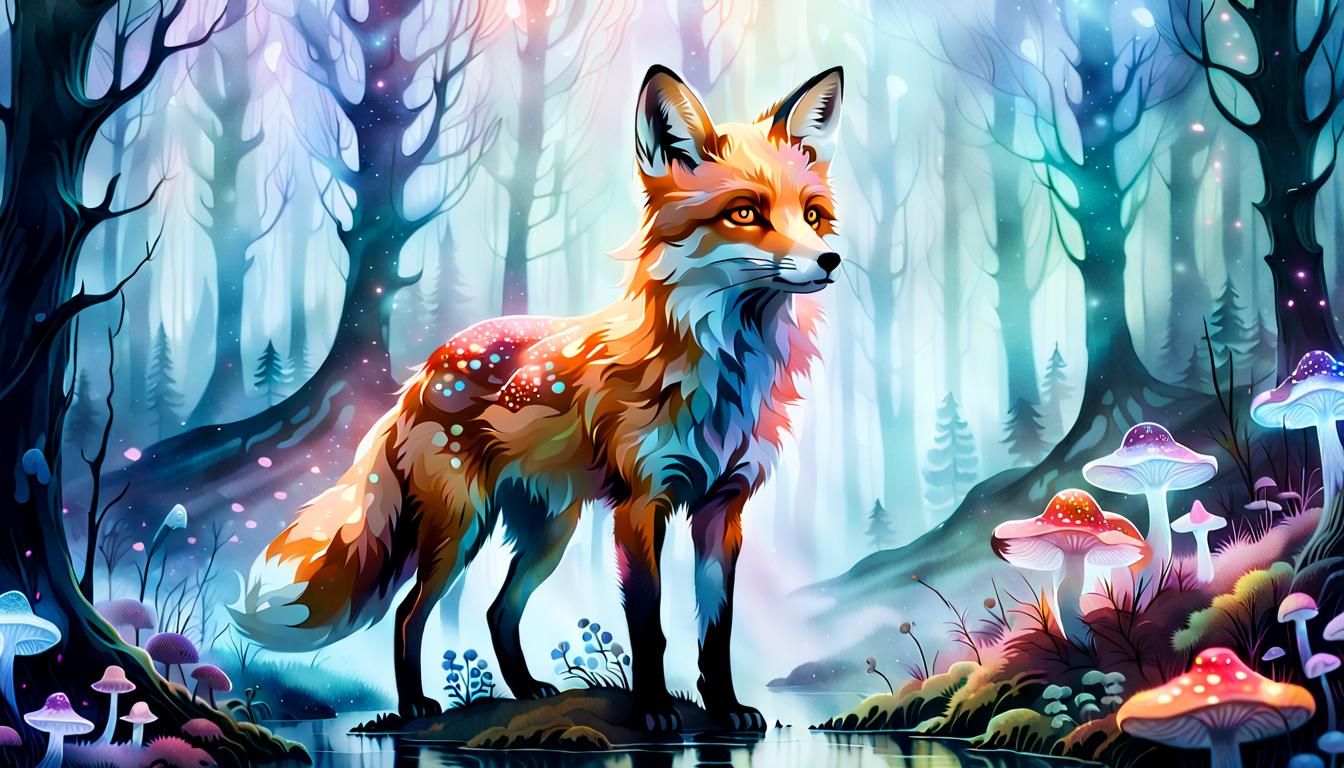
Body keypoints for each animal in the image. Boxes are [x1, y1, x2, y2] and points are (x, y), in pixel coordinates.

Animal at [232, 64, 844, 731]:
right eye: (745, 212)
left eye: (813, 215)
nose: (831, 259)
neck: (725, 370)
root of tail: (420, 372)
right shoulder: (641, 504)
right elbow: (649, 625)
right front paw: (655, 710)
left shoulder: (723, 508)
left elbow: (717, 630)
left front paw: (727, 707)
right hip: (460, 530)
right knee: (408, 613)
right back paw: (416, 704)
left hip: (550, 532)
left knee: (498, 610)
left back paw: (526, 690)